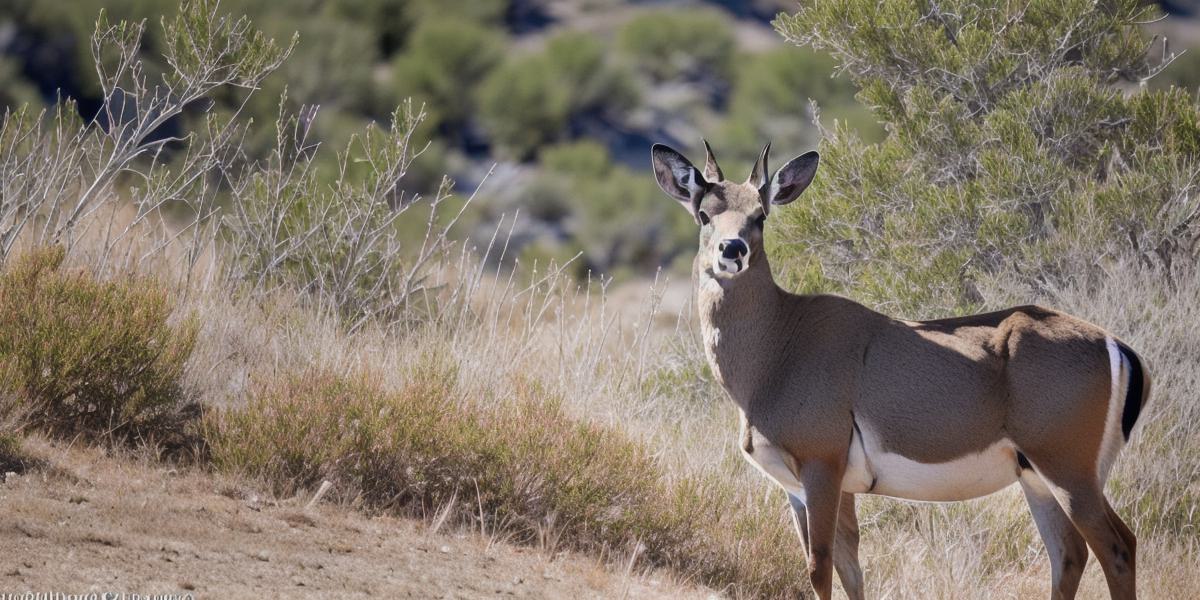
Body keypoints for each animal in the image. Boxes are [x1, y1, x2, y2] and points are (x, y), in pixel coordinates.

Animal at [657, 141, 1152, 600]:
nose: (732, 250)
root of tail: (1118, 347)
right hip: (1039, 479)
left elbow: (820, 567)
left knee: (1116, 547)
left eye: (759, 215)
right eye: (704, 214)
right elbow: (850, 570)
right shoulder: (799, 487)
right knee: (1071, 553)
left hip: (1069, 472)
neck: (780, 343)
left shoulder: (822, 468)